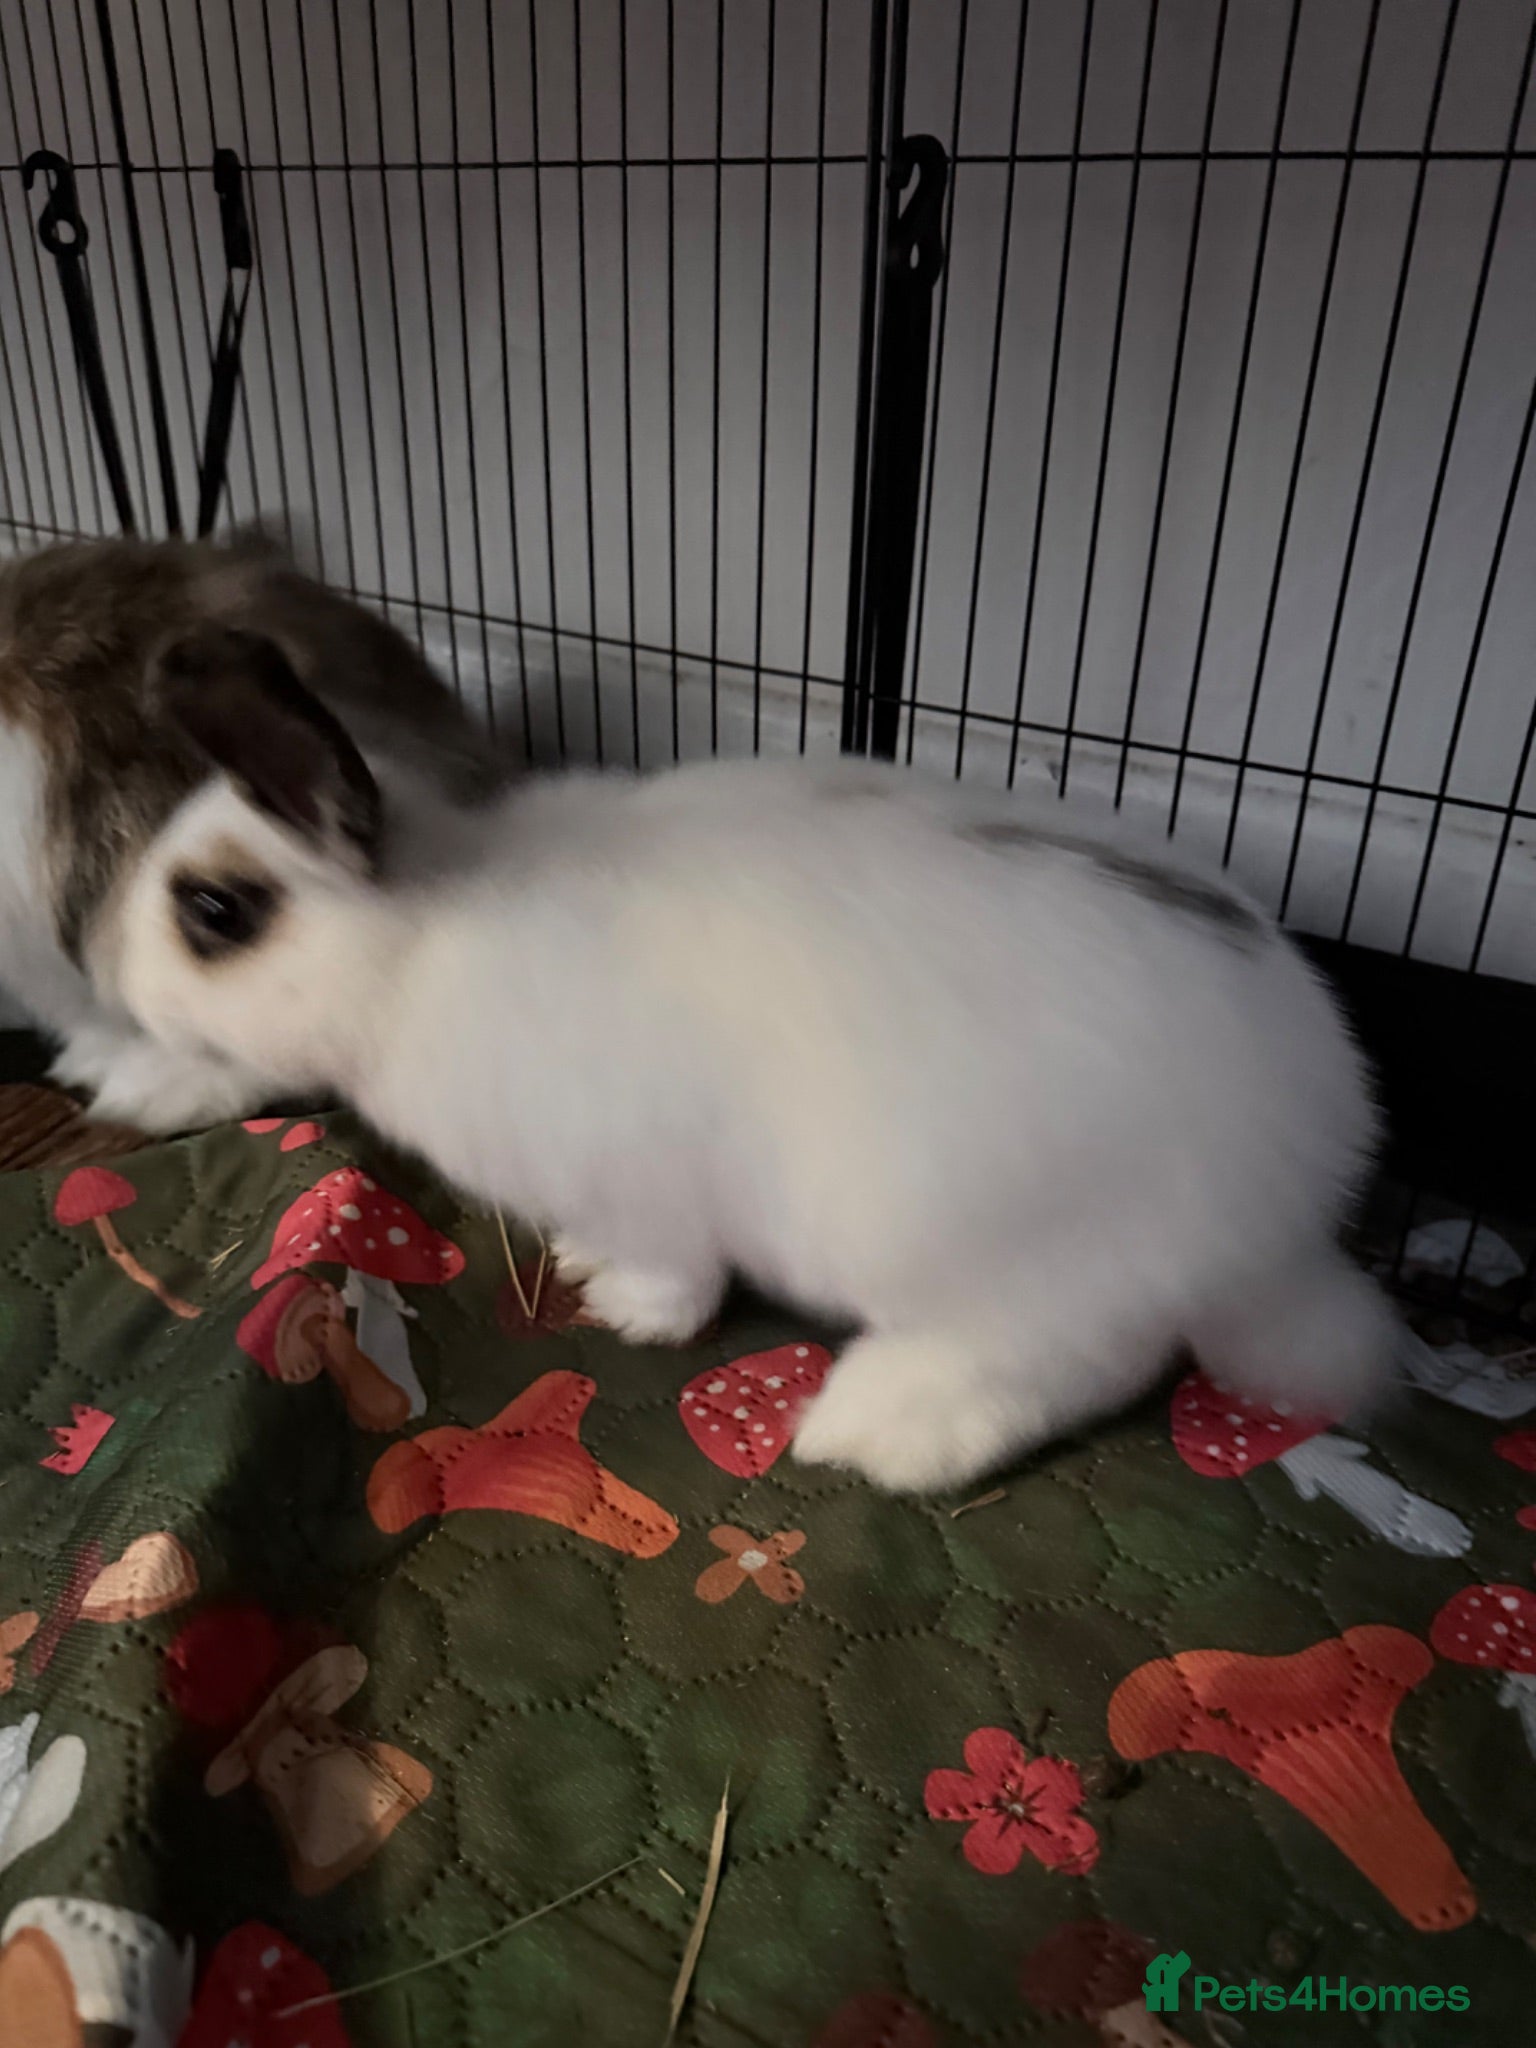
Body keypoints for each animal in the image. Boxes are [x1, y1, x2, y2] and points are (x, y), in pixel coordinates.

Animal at [100, 622, 1395, 1491]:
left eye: (215, 910)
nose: (119, 985)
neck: (418, 944)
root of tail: (1299, 1194)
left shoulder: (646, 1185)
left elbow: (676, 1278)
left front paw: (620, 1307)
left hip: (1012, 1252)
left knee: (1076, 1360)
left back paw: (877, 1427)